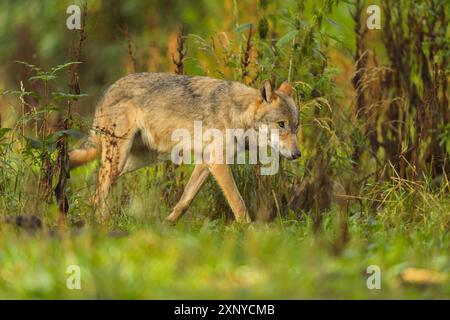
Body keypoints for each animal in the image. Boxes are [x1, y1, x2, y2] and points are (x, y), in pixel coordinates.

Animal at [69, 72, 302, 222]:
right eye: (281, 124)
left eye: (296, 127)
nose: (297, 154)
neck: (238, 114)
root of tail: (108, 90)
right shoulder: (218, 163)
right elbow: (239, 205)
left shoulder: (207, 163)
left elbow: (184, 201)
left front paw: (167, 225)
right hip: (119, 159)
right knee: (98, 194)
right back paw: (101, 225)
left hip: (135, 162)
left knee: (95, 186)